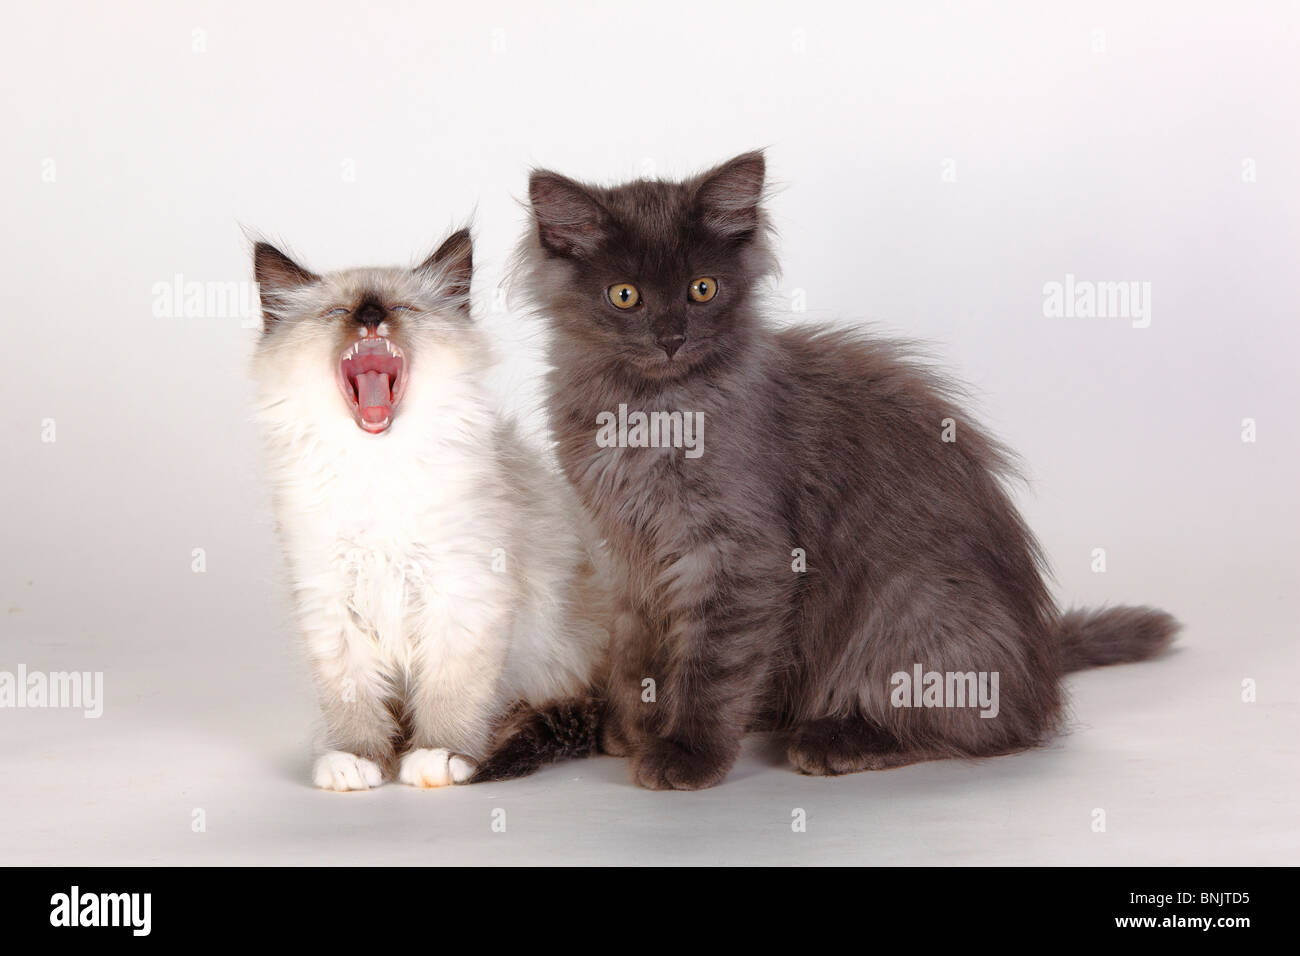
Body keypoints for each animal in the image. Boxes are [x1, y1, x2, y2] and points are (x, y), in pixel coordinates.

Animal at [252, 227, 608, 790]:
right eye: (338, 312)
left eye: (401, 308)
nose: (371, 316)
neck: (376, 468)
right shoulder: (331, 602)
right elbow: (351, 697)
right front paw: (356, 760)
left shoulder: (464, 594)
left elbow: (450, 692)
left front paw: (438, 755)